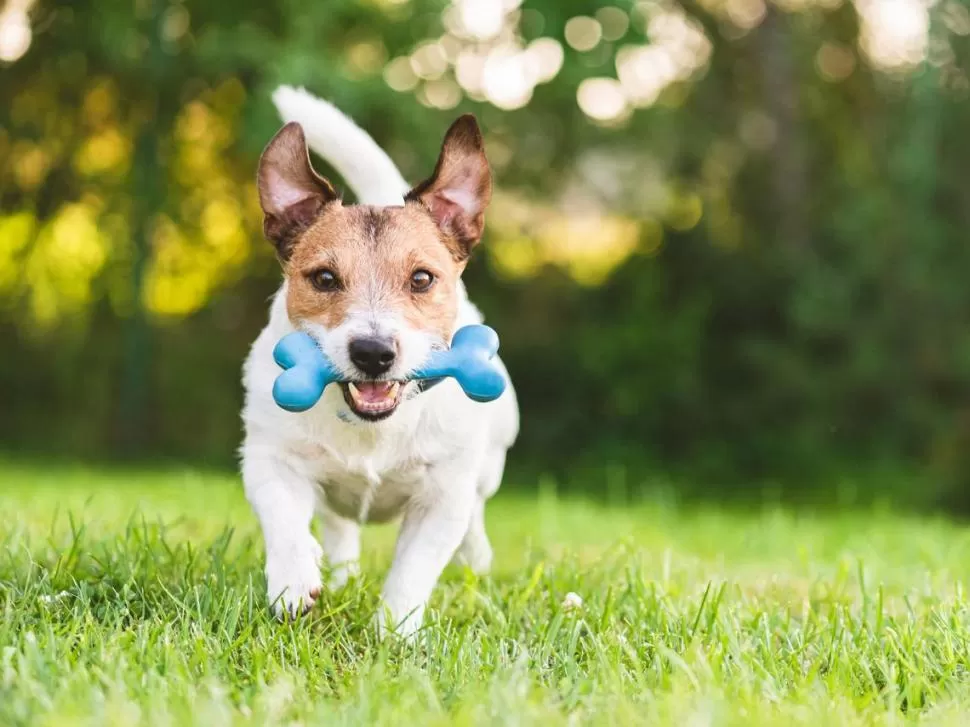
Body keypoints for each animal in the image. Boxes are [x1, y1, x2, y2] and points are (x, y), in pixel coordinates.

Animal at [239, 86, 520, 636]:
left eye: (422, 279)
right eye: (325, 278)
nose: (372, 353)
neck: (372, 427)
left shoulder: (442, 496)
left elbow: (414, 567)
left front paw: (396, 631)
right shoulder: (267, 456)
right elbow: (283, 516)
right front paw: (293, 580)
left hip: (489, 464)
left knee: (476, 516)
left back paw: (476, 563)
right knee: (338, 525)